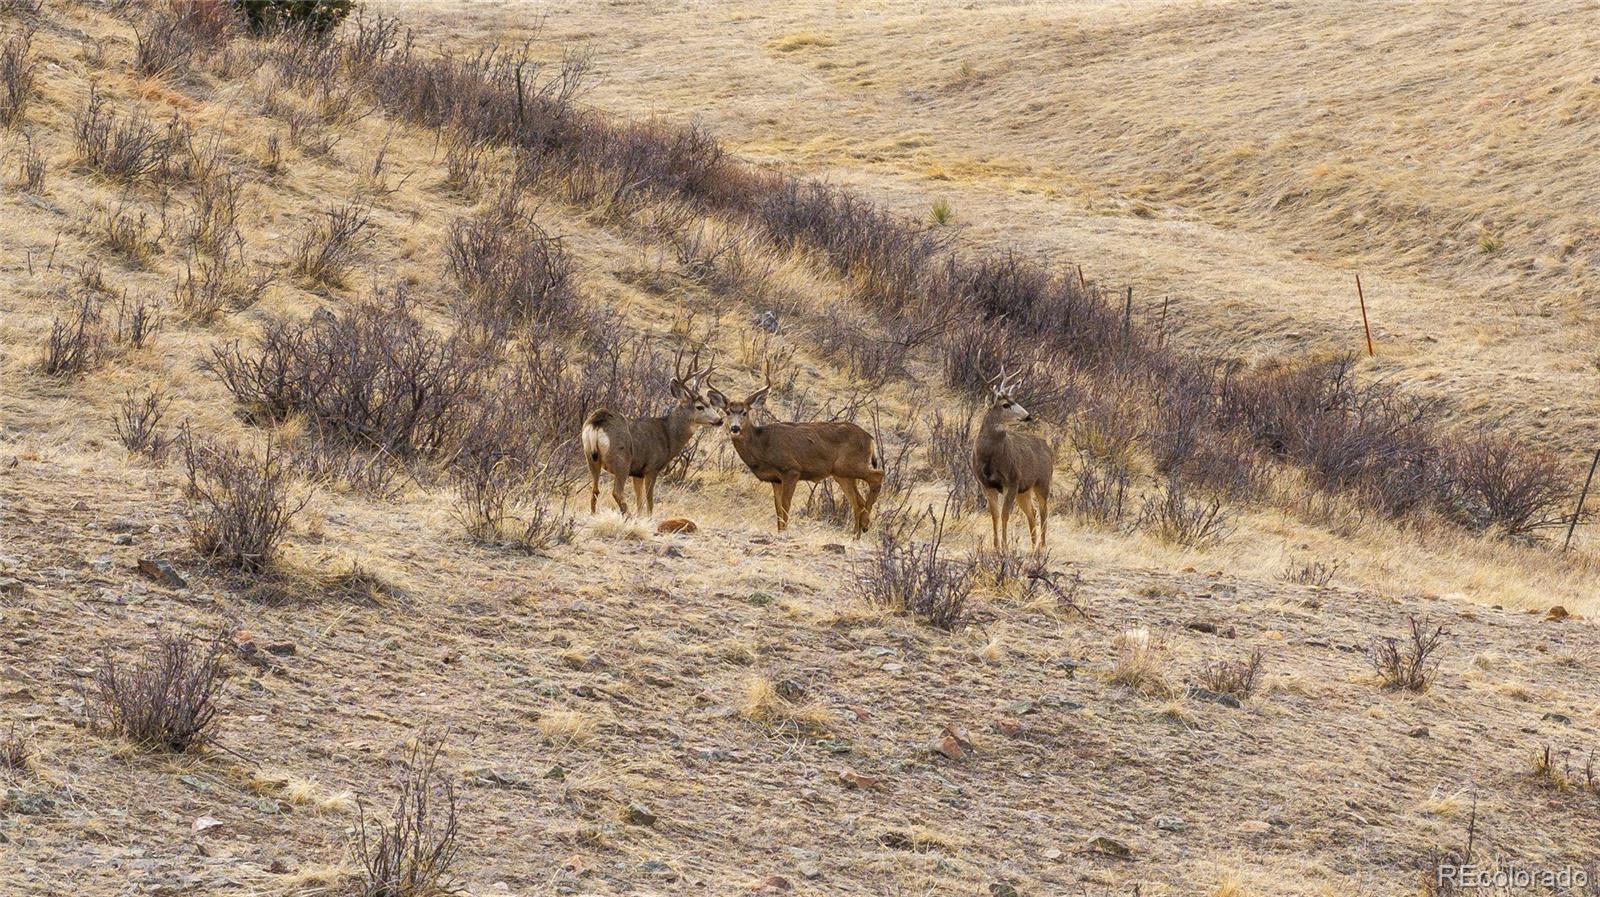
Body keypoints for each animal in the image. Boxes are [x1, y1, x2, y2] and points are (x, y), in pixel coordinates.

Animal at [582, 353, 720, 514]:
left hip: (591, 458)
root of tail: (596, 422)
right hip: (621, 460)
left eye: (709, 403)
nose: (720, 420)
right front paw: (648, 517)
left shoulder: (637, 472)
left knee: (595, 491)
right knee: (616, 492)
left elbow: (639, 502)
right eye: (699, 407)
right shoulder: (652, 467)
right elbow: (649, 503)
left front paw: (640, 516)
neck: (668, 435)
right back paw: (627, 515)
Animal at [713, 361, 889, 534]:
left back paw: (865, 524)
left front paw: (784, 533)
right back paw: (856, 534)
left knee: (878, 475)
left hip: (849, 464)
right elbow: (778, 509)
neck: (762, 445)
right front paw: (780, 532)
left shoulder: (791, 470)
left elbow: (785, 507)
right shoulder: (775, 479)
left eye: (744, 412)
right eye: (727, 412)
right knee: (858, 502)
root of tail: (871, 439)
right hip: (842, 474)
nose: (735, 428)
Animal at [966, 366, 1056, 550]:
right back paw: (1034, 546)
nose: (1028, 416)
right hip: (1025, 489)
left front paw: (1005, 547)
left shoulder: (1012, 480)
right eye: (1005, 404)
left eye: (1015, 400)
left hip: (1043, 481)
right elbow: (994, 514)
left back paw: (1042, 546)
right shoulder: (987, 484)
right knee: (1032, 511)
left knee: (1044, 510)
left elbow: (1005, 514)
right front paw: (996, 546)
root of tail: (1047, 446)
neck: (990, 459)